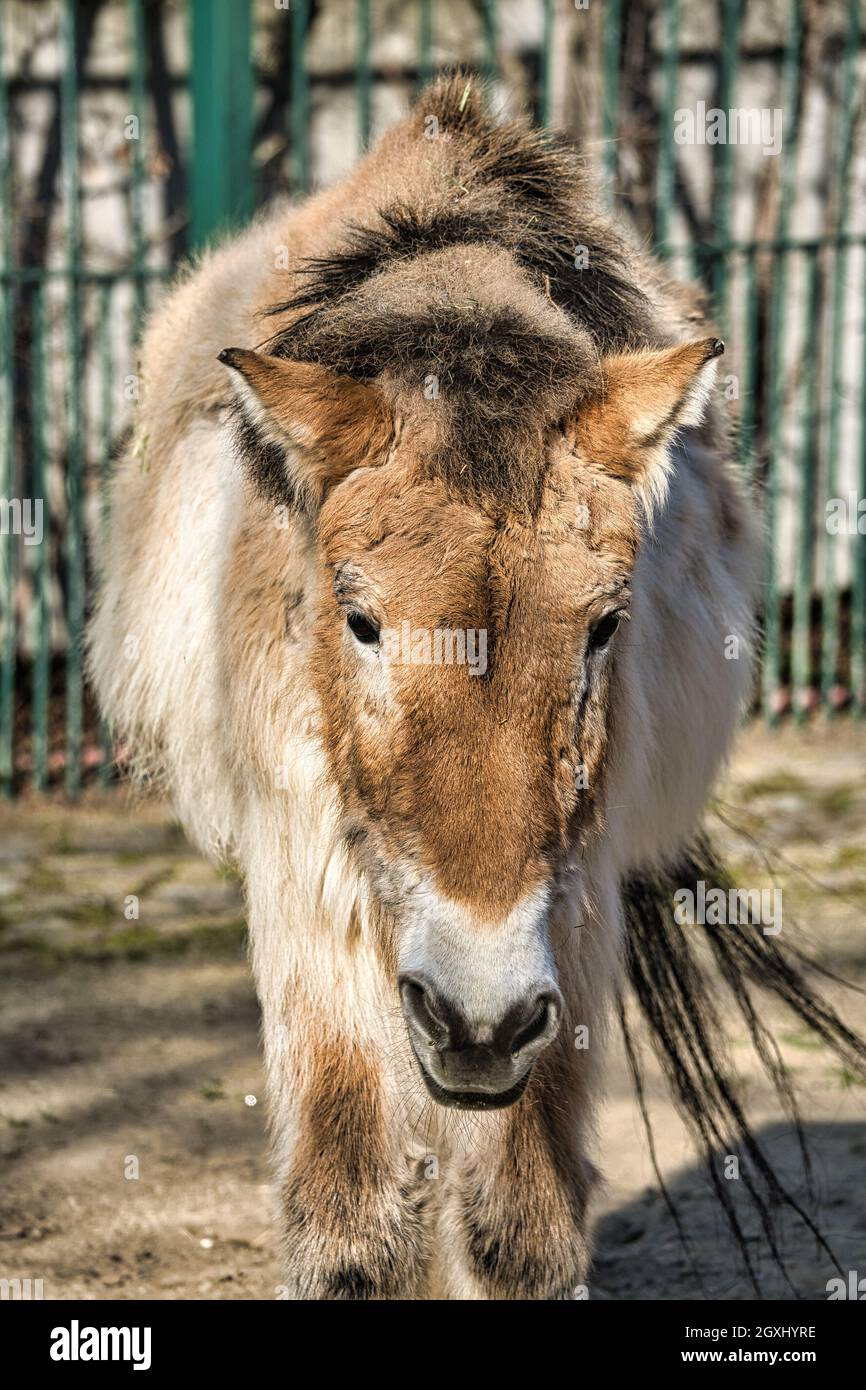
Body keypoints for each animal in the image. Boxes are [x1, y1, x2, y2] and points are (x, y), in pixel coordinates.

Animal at [89, 75, 862, 1299]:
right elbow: (354, 1219)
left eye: (604, 627)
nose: (479, 1018)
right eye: (360, 620)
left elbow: (521, 1222)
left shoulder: (570, 917)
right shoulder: (310, 887)